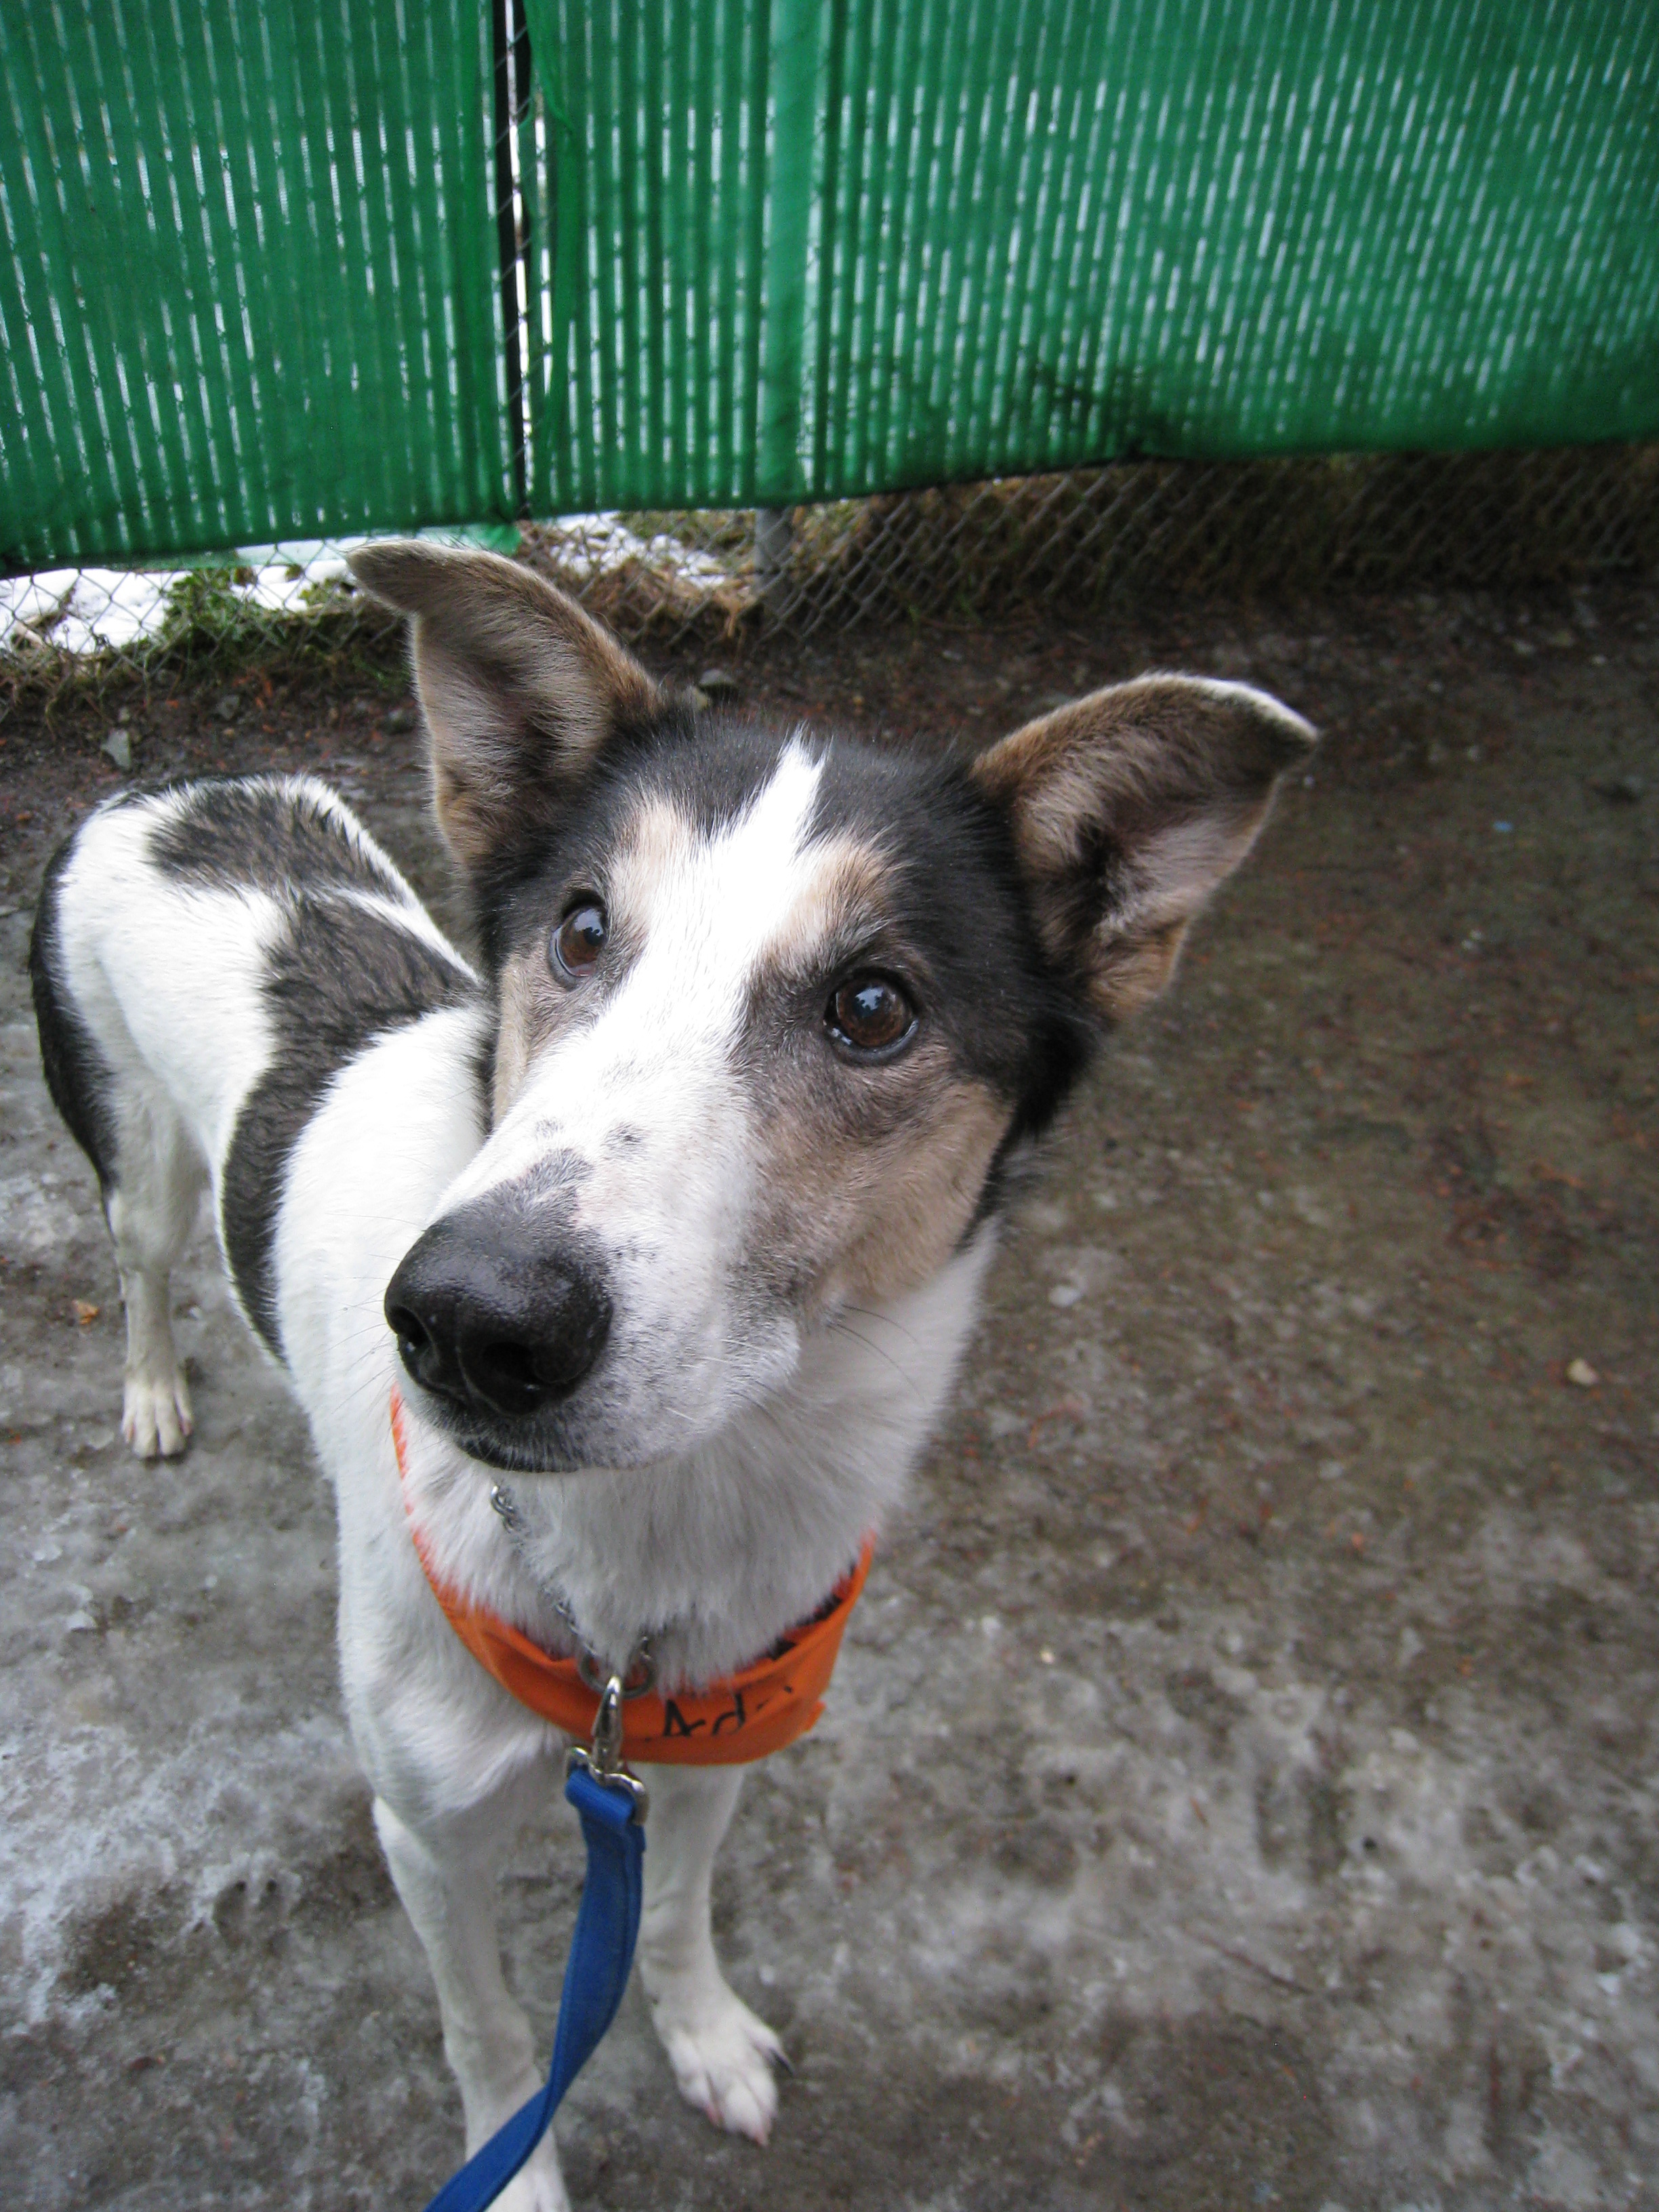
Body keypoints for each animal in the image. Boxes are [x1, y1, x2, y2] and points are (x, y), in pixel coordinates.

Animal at [29, 539, 1309, 2212]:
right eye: (579, 929)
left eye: (874, 1006)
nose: (465, 1320)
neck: (648, 1557)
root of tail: (158, 787)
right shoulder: (422, 1831)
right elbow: (493, 2032)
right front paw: (515, 2173)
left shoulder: (711, 1756)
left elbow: (678, 1916)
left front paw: (700, 2035)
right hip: (136, 1155)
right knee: (135, 1261)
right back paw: (154, 1392)